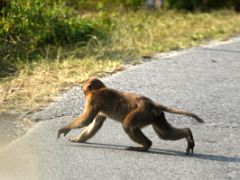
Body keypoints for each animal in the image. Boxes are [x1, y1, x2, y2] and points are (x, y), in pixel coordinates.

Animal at [57, 78, 203, 154]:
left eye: (84, 85)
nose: (81, 87)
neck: (99, 89)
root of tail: (150, 103)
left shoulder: (93, 99)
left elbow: (87, 120)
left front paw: (64, 129)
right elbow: (95, 123)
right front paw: (78, 139)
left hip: (142, 113)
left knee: (127, 125)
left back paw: (146, 146)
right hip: (155, 116)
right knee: (165, 134)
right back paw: (187, 134)